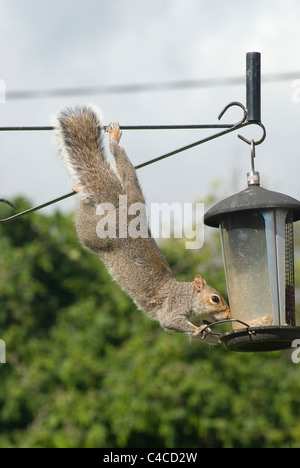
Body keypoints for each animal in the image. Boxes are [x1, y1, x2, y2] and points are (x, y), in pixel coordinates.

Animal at [54, 107, 231, 336]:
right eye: (215, 298)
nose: (229, 315)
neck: (185, 294)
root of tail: (124, 210)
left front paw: (209, 334)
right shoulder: (172, 309)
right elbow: (172, 322)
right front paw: (198, 329)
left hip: (134, 194)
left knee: (127, 171)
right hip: (95, 235)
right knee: (85, 219)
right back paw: (88, 182)